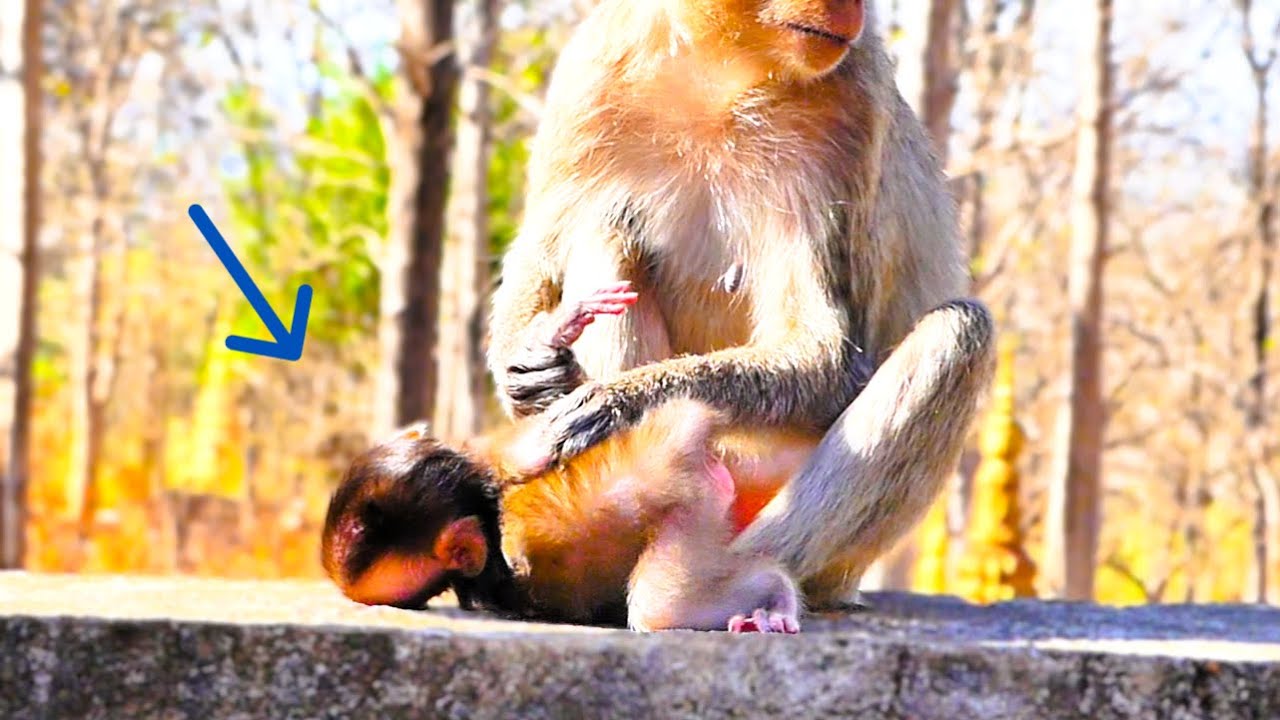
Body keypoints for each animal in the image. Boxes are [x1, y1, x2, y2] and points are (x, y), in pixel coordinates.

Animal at [486, 0, 997, 608]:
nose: (852, 11)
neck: (719, 71)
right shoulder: (589, 80)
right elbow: (543, 240)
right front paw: (525, 371)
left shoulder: (850, 109)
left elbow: (833, 355)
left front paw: (619, 402)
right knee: (601, 226)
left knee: (959, 332)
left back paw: (702, 585)